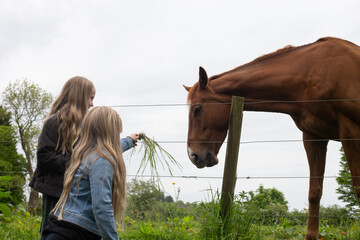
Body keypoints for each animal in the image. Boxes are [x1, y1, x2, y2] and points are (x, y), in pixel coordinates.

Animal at [184, 36, 360, 239]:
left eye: (197, 109)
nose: (193, 155)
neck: (314, 72)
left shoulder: (350, 132)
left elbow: (358, 189)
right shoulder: (314, 137)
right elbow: (314, 192)